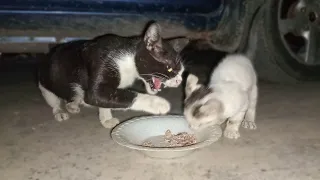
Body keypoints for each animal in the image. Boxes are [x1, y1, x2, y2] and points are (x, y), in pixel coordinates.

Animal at [38, 22, 188, 128]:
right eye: (170, 69)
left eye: (181, 72)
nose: (179, 81)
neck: (129, 59)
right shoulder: (103, 62)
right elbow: (102, 95)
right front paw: (158, 103)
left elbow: (106, 99)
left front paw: (106, 119)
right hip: (47, 83)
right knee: (54, 100)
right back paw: (60, 112)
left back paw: (73, 105)